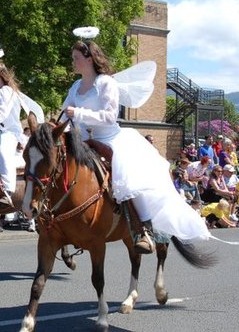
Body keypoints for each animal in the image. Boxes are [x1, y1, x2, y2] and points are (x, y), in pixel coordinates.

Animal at [20, 118, 215, 330]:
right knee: (136, 259)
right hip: (129, 234)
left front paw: (102, 318)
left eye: (49, 160)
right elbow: (38, 282)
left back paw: (160, 292)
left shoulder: (97, 244)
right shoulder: (47, 242)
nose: (28, 208)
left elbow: (98, 279)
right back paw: (129, 300)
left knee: (162, 252)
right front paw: (27, 324)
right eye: (24, 155)